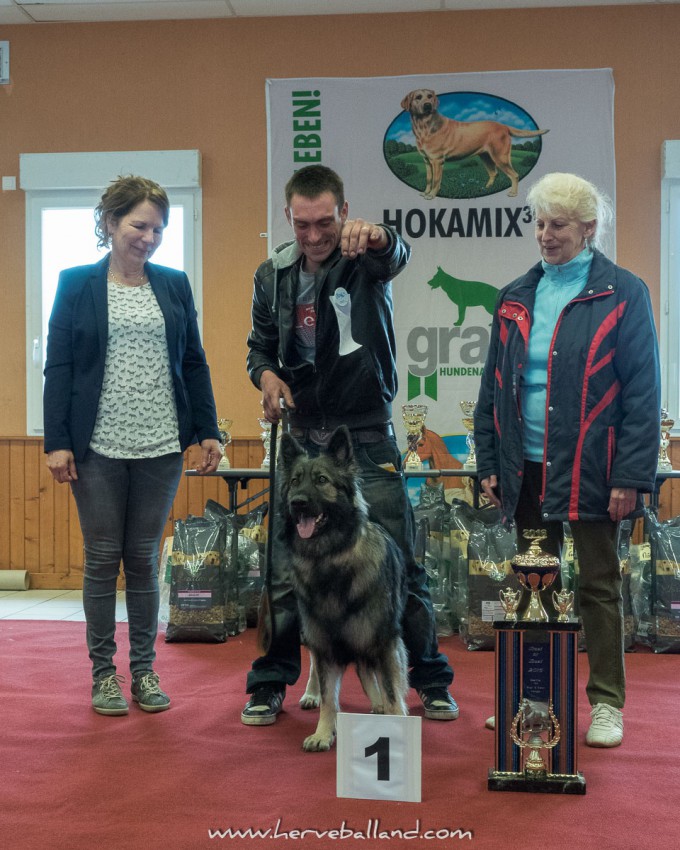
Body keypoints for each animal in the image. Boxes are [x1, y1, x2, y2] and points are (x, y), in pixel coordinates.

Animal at [278, 424, 406, 748]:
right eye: (295, 480)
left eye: (322, 480)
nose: (297, 502)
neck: (329, 559)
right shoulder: (324, 642)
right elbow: (329, 697)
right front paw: (323, 732)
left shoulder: (383, 640)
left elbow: (392, 689)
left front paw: (395, 725)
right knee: (319, 666)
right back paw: (311, 693)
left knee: (368, 670)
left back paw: (379, 705)